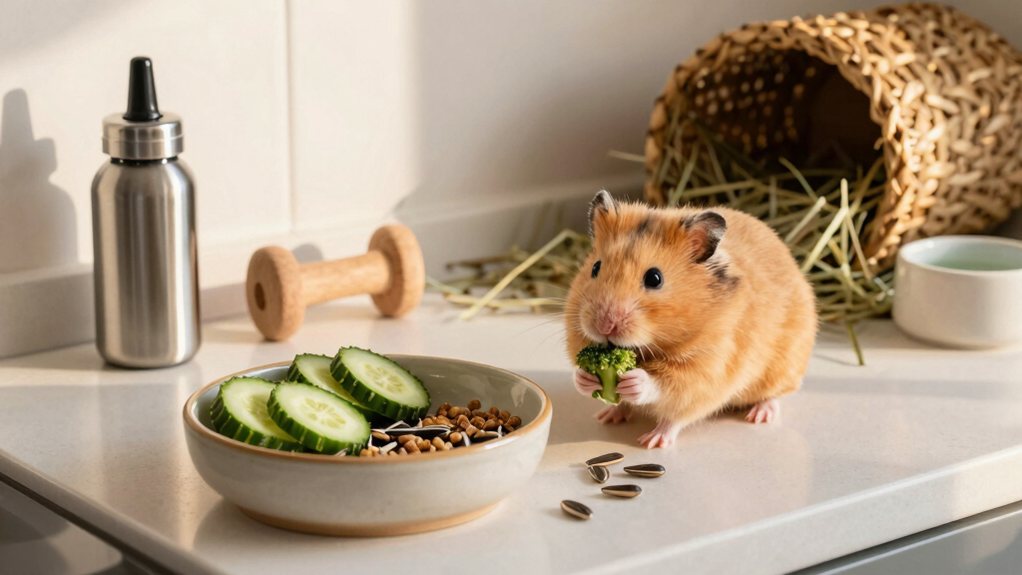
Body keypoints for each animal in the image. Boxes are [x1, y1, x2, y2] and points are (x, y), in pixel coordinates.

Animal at [565, 190, 817, 448]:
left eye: (654, 278)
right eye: (595, 268)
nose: (604, 326)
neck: (649, 346)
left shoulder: (706, 369)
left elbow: (667, 387)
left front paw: (635, 384)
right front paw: (585, 379)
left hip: (782, 368)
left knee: (772, 396)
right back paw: (607, 416)